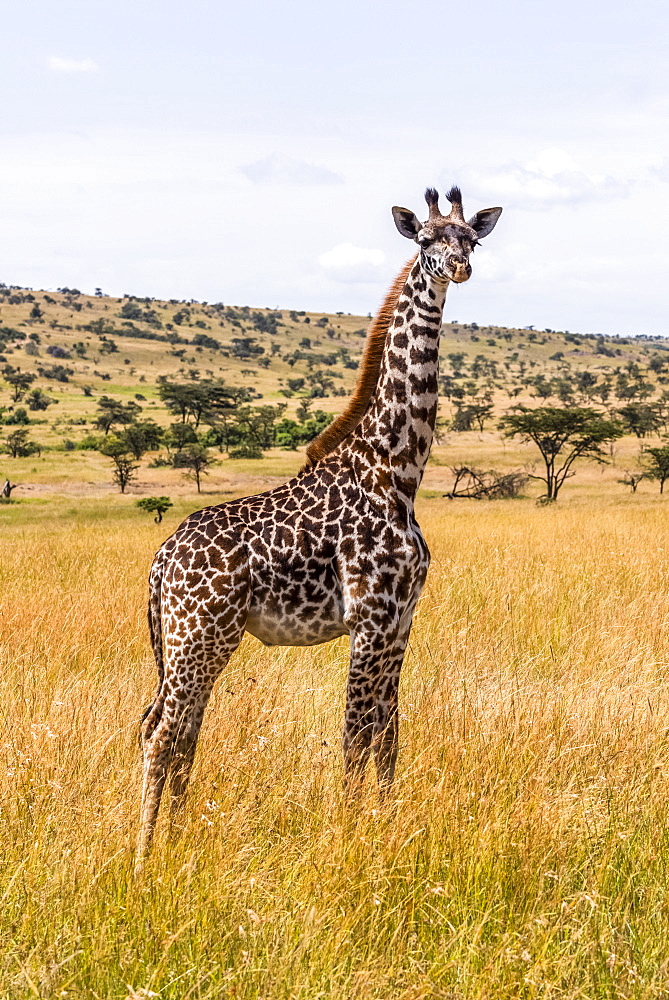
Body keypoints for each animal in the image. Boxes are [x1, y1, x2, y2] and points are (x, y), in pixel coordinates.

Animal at [137, 188, 500, 868]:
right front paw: (351, 838)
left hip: (194, 643)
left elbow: (387, 737)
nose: (460, 268)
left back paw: (173, 844)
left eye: (472, 238)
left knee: (178, 731)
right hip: (198, 637)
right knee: (161, 732)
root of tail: (160, 563)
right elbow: (355, 737)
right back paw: (143, 859)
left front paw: (384, 829)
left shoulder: (402, 619)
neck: (396, 469)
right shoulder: (370, 617)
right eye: (425, 241)